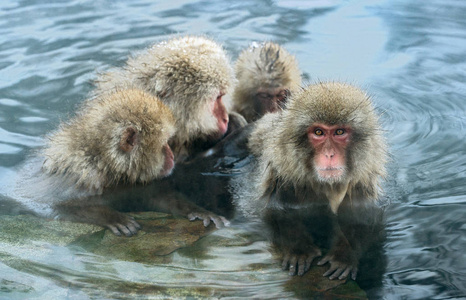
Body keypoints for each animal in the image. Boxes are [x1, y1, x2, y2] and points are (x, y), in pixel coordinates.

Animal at [233, 81, 390, 278]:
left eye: (339, 132)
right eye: (318, 132)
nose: (329, 154)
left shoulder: (361, 184)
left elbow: (362, 218)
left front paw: (344, 255)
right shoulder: (280, 177)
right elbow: (276, 212)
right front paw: (300, 250)